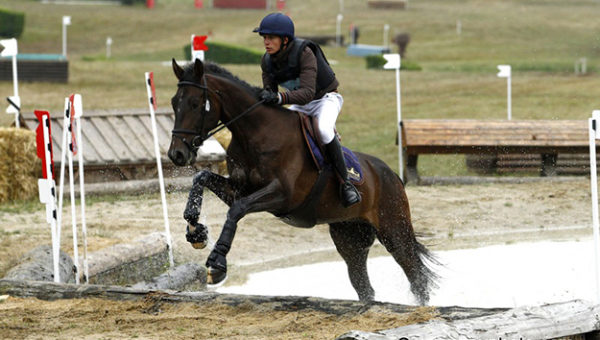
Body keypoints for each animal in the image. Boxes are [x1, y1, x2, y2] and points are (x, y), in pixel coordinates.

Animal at [166, 57, 438, 304]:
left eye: (195, 104)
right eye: (173, 102)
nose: (176, 154)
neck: (254, 133)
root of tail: (392, 175)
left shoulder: (281, 196)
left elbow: (236, 210)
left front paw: (217, 263)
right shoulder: (239, 188)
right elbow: (202, 178)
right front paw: (195, 230)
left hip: (394, 231)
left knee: (416, 278)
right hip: (350, 238)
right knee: (364, 287)